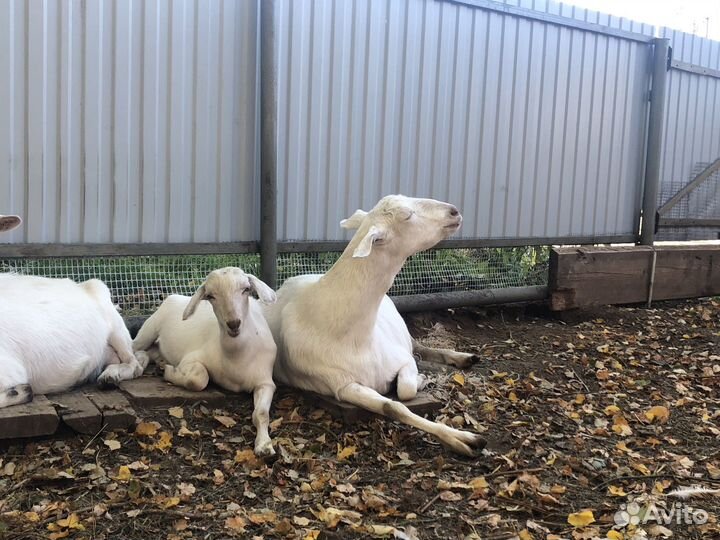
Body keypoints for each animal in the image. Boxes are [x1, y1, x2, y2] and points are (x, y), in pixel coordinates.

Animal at [133, 267, 278, 457]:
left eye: (246, 289)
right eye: (210, 296)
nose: (233, 324)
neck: (237, 358)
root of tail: (175, 296)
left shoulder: (265, 381)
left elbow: (261, 414)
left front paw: (264, 446)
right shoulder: (190, 358)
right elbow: (197, 379)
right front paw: (169, 371)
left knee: (152, 351)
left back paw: (157, 361)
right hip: (149, 328)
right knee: (134, 346)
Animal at [262, 195, 485, 456]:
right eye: (407, 216)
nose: (454, 212)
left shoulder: (402, 358)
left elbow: (405, 390)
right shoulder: (342, 385)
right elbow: (394, 406)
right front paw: (465, 440)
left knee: (421, 347)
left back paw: (463, 357)